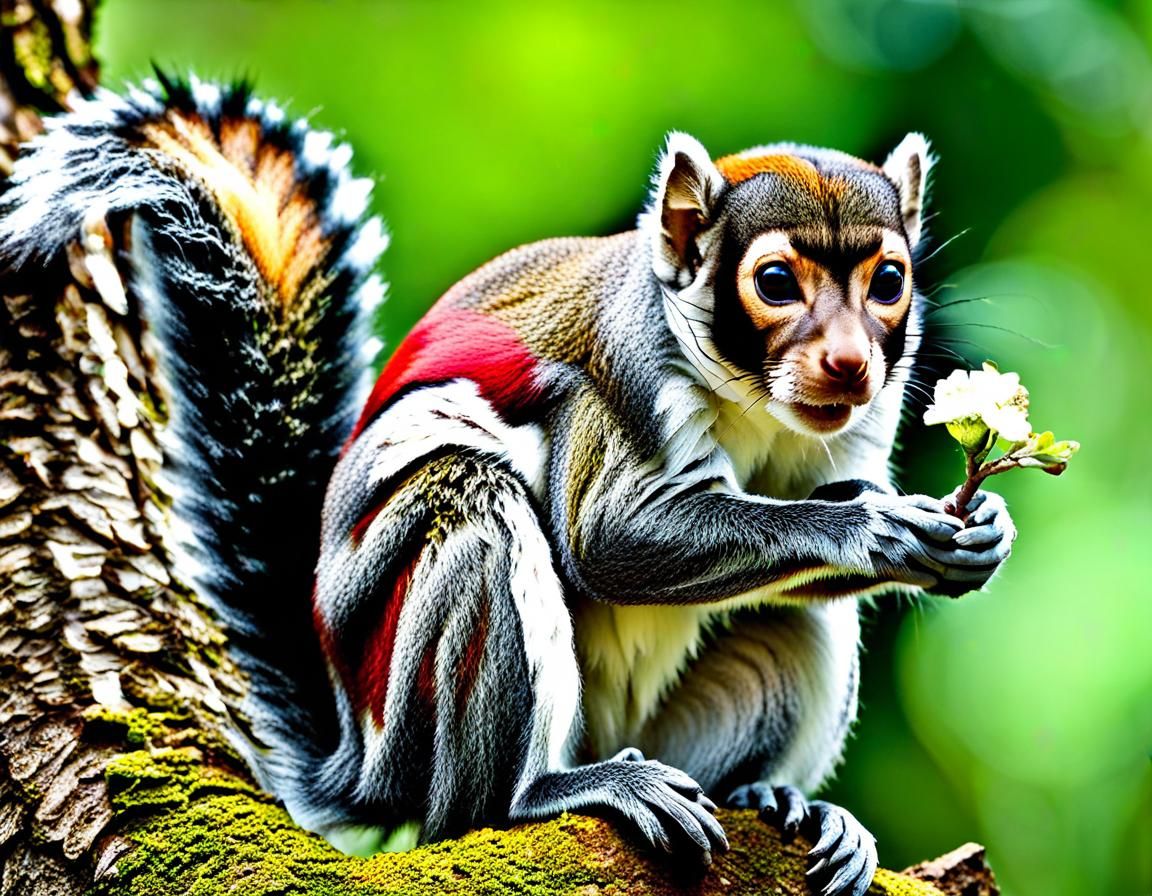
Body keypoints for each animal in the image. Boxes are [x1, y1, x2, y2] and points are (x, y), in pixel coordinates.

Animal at [0, 77, 1015, 896]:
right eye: (772, 281)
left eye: (889, 280)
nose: (850, 364)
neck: (755, 406)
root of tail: (359, 763)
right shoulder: (616, 388)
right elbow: (608, 541)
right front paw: (880, 535)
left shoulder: (854, 438)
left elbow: (828, 504)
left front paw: (975, 529)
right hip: (456, 592)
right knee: (474, 800)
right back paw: (563, 790)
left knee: (793, 617)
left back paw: (779, 801)